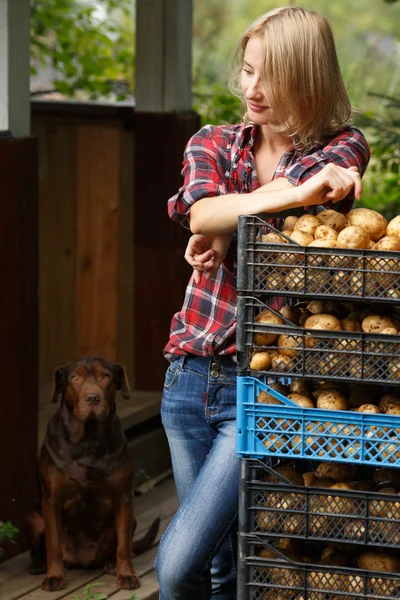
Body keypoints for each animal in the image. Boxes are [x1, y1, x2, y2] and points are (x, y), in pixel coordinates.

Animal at [27, 356, 159, 592]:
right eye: (74, 377)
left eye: (105, 376)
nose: (92, 398)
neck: (88, 442)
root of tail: (81, 560)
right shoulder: (51, 500)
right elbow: (53, 544)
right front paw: (54, 576)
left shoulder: (123, 497)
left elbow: (123, 545)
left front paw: (127, 574)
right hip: (33, 518)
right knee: (40, 546)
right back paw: (38, 564)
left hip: (131, 519)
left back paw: (112, 564)